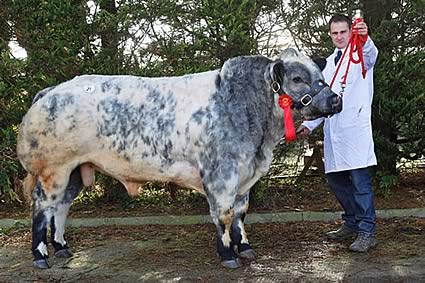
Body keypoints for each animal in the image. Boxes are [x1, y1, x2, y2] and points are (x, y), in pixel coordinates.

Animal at [15, 48, 342, 270]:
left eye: (321, 77)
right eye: (297, 78)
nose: (335, 99)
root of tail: (50, 91)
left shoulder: (244, 177)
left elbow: (240, 213)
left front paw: (245, 248)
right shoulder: (221, 175)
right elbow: (223, 215)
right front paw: (227, 254)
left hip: (74, 171)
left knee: (60, 208)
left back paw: (62, 248)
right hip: (53, 170)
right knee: (42, 209)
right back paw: (40, 256)